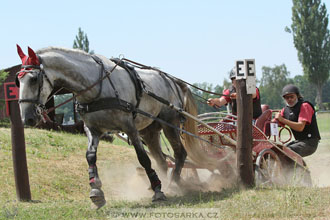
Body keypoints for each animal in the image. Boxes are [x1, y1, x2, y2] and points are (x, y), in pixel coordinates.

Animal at [14, 45, 199, 208]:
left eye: (33, 79)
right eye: (18, 80)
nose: (27, 118)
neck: (96, 87)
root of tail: (173, 81)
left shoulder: (129, 127)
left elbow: (143, 158)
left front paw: (158, 193)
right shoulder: (92, 129)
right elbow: (90, 156)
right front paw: (96, 191)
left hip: (170, 124)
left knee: (179, 154)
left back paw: (172, 184)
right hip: (149, 131)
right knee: (161, 160)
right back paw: (161, 183)